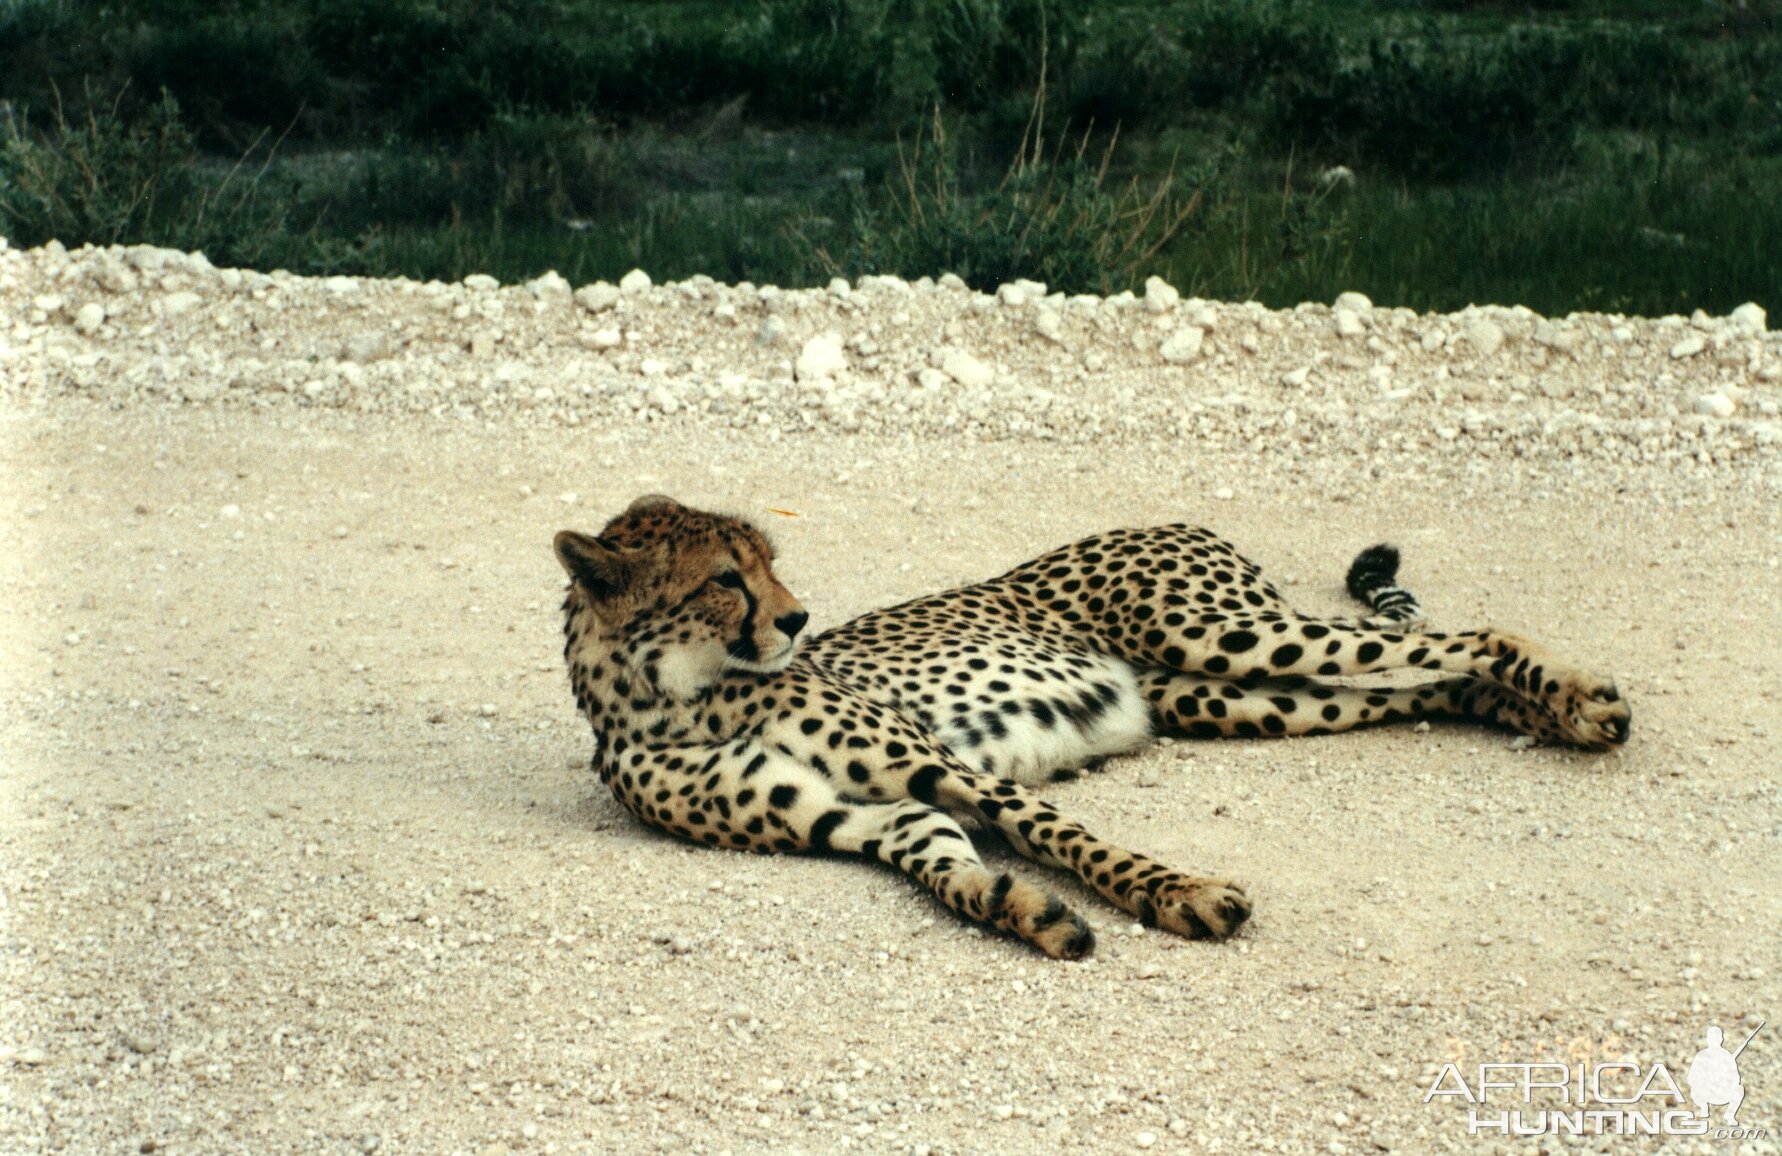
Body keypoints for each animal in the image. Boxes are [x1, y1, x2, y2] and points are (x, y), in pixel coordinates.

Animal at [552, 495, 1632, 954]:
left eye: (767, 564)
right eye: (723, 579)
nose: (797, 619)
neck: (674, 695)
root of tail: (1175, 520)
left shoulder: (945, 768)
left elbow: (1072, 839)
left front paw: (1182, 894)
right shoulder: (869, 816)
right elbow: (954, 872)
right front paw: (1025, 912)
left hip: (1228, 634)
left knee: (1464, 636)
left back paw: (1583, 697)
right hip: (1234, 693)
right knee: (1432, 682)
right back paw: (1546, 709)